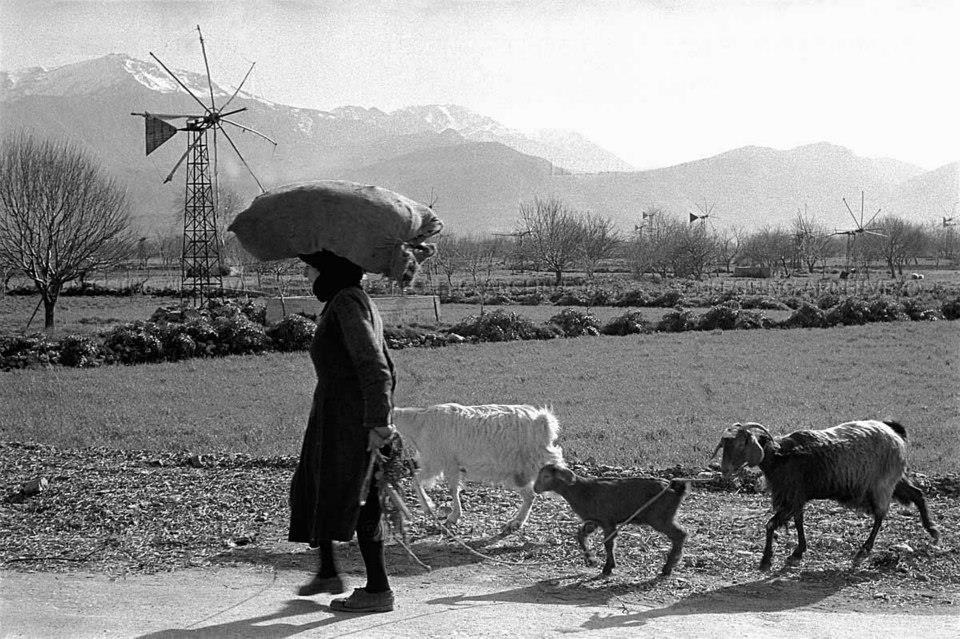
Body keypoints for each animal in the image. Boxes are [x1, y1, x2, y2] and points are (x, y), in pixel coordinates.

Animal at [394, 404, 568, 536]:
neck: (419, 424)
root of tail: (543, 422)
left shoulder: (436, 461)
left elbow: (417, 481)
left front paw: (430, 508)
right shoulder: (451, 464)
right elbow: (452, 488)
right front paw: (452, 516)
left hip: (532, 464)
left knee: (539, 491)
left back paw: (516, 522)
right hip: (519, 471)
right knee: (530, 495)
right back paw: (515, 522)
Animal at [716, 420, 940, 568]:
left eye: (741, 443)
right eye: (725, 444)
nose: (724, 469)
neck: (781, 455)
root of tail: (894, 431)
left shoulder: (791, 496)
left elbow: (772, 524)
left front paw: (766, 560)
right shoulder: (796, 498)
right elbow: (797, 521)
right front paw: (798, 551)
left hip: (882, 483)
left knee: (880, 516)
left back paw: (865, 548)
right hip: (894, 479)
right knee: (917, 494)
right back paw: (932, 530)